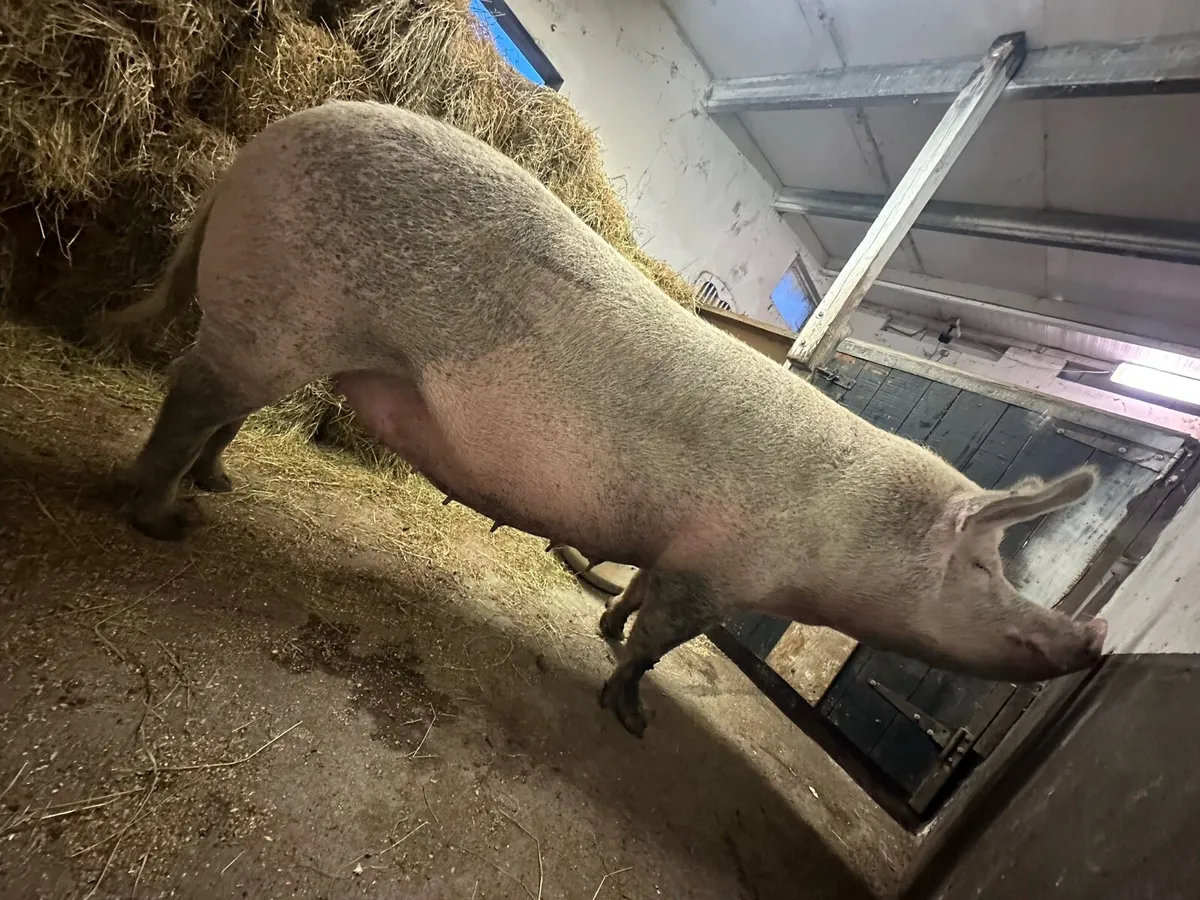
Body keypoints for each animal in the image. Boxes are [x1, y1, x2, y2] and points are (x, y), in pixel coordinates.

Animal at [96, 100, 1108, 738]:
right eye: (985, 565)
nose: (1093, 641)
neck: (849, 534)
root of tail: (266, 138)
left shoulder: (680, 548)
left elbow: (634, 596)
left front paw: (607, 629)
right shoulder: (719, 569)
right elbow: (664, 641)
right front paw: (632, 717)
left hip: (293, 340)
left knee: (223, 417)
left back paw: (219, 488)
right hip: (274, 315)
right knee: (191, 397)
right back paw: (163, 521)